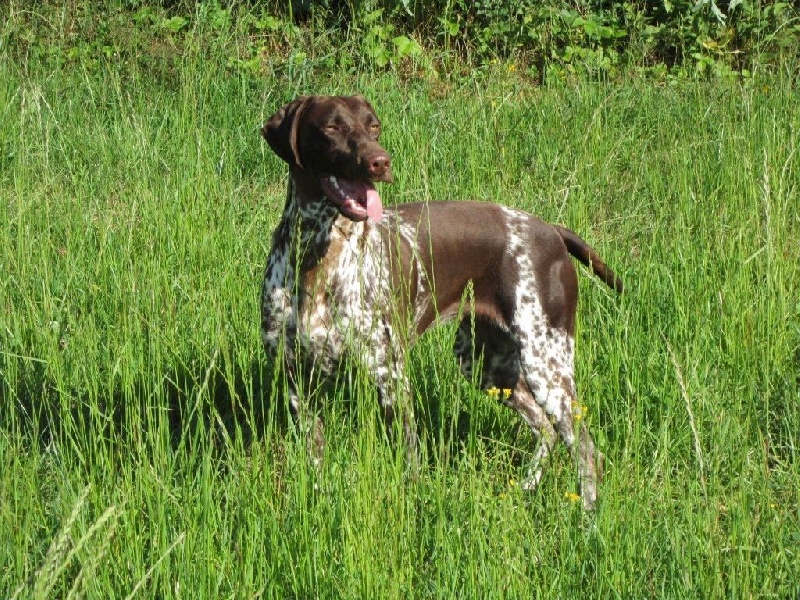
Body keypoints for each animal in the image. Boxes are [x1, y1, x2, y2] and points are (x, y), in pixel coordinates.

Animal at [260, 96, 620, 508]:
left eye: (373, 126)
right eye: (331, 127)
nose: (381, 161)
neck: (317, 257)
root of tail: (552, 231)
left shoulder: (390, 375)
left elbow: (409, 455)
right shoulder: (296, 381)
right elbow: (316, 457)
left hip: (546, 364)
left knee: (586, 449)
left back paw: (588, 515)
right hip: (486, 364)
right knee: (545, 428)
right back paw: (527, 487)